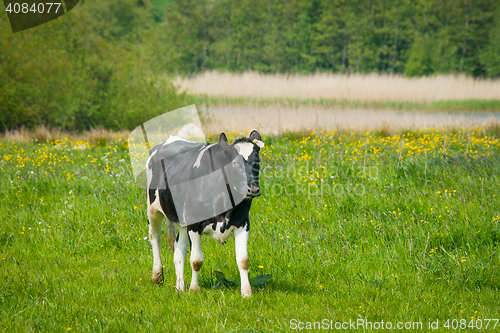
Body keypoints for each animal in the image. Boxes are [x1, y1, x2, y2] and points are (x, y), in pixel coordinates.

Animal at [145, 129, 264, 296]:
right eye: (235, 163)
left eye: (257, 162)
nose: (253, 189)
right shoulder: (194, 224)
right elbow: (196, 260)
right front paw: (194, 289)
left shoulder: (243, 223)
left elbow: (243, 260)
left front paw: (246, 292)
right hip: (153, 208)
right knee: (155, 237)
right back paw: (157, 275)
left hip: (182, 220)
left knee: (179, 250)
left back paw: (180, 287)